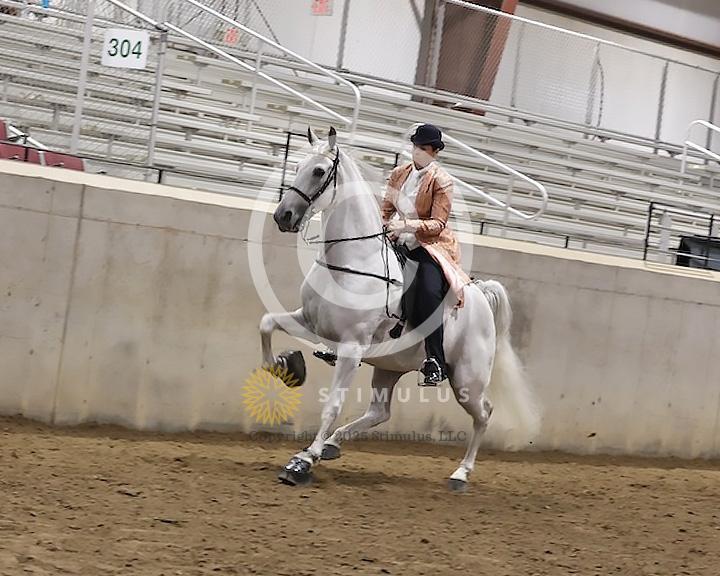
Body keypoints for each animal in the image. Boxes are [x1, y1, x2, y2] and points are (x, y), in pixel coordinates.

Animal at [259, 126, 540, 490]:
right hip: (388, 366)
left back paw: (460, 474)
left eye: (319, 171)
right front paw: (288, 366)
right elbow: (267, 324)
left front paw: (302, 462)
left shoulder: (351, 348)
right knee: (381, 411)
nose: (284, 216)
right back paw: (333, 444)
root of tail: (479, 294)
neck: (352, 263)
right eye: (296, 167)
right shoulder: (308, 320)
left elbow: (332, 405)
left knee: (484, 413)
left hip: (468, 378)